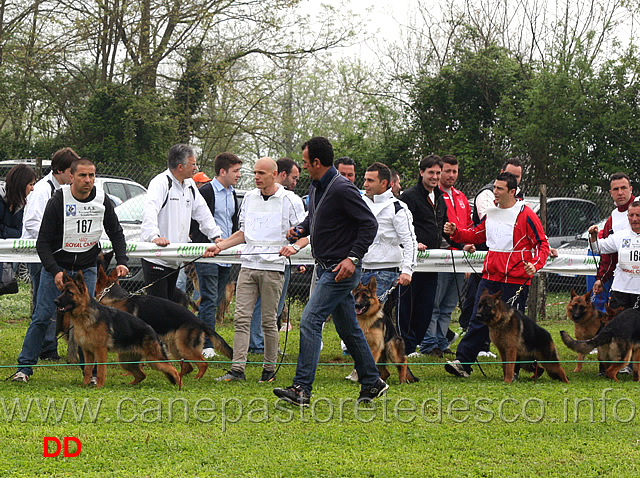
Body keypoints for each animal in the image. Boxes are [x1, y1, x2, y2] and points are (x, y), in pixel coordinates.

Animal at [53, 270, 181, 386]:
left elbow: (101, 371)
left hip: (154, 360)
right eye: (62, 291)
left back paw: (179, 386)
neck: (86, 316)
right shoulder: (87, 352)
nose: (55, 301)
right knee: (142, 375)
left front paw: (99, 387)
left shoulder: (100, 351)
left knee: (173, 370)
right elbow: (88, 370)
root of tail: (153, 331)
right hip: (125, 360)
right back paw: (129, 385)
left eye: (69, 293)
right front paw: (84, 385)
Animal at [94, 268, 234, 380]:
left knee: (203, 364)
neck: (118, 298)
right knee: (188, 367)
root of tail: (198, 320)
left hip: (184, 346)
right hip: (175, 346)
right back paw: (178, 377)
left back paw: (196, 379)